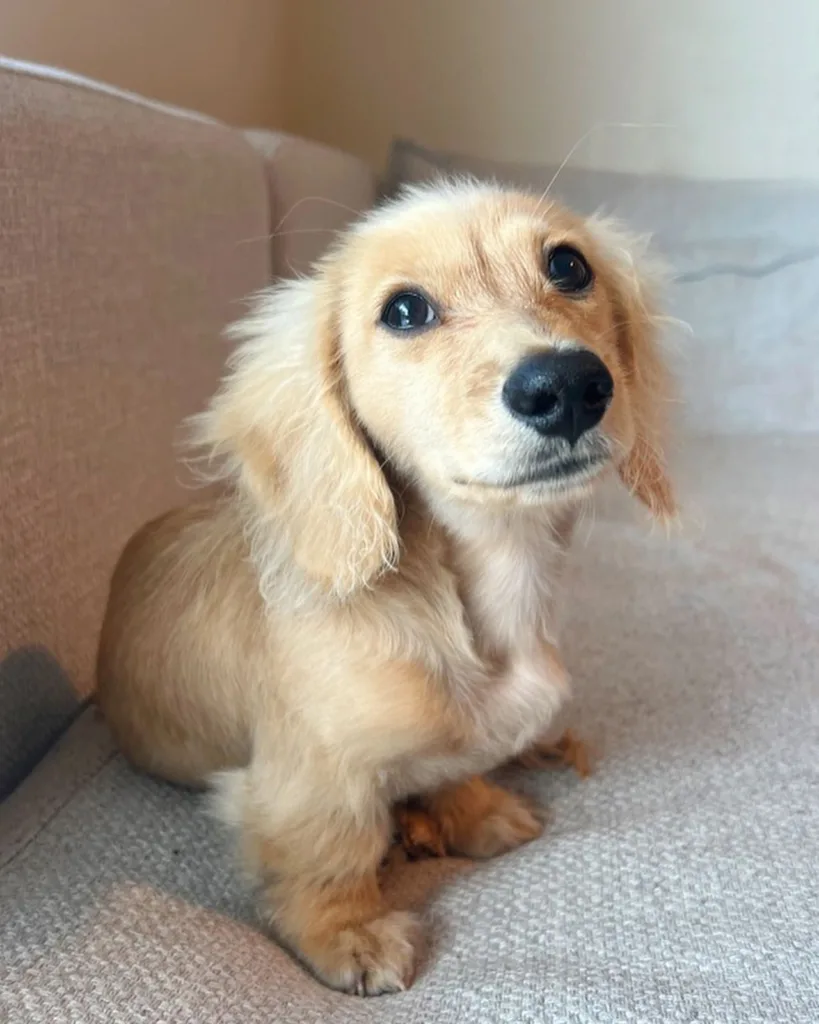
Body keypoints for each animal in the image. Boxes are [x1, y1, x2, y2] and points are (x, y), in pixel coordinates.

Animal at [96, 180, 675, 995]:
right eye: (405, 311)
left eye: (568, 265)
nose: (565, 386)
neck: (480, 592)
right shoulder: (311, 779)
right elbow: (330, 854)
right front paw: (351, 933)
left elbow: (454, 767)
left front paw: (471, 811)